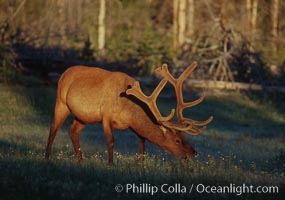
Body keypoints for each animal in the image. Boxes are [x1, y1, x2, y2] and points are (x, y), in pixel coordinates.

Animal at [44, 61, 212, 163]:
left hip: (84, 116)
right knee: (53, 127)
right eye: (177, 140)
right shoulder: (106, 116)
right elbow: (111, 141)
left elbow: (142, 140)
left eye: (184, 137)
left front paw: (141, 162)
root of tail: (64, 72)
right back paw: (47, 157)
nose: (193, 153)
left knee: (72, 131)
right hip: (61, 102)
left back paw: (80, 160)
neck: (129, 107)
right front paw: (111, 165)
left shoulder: (130, 124)